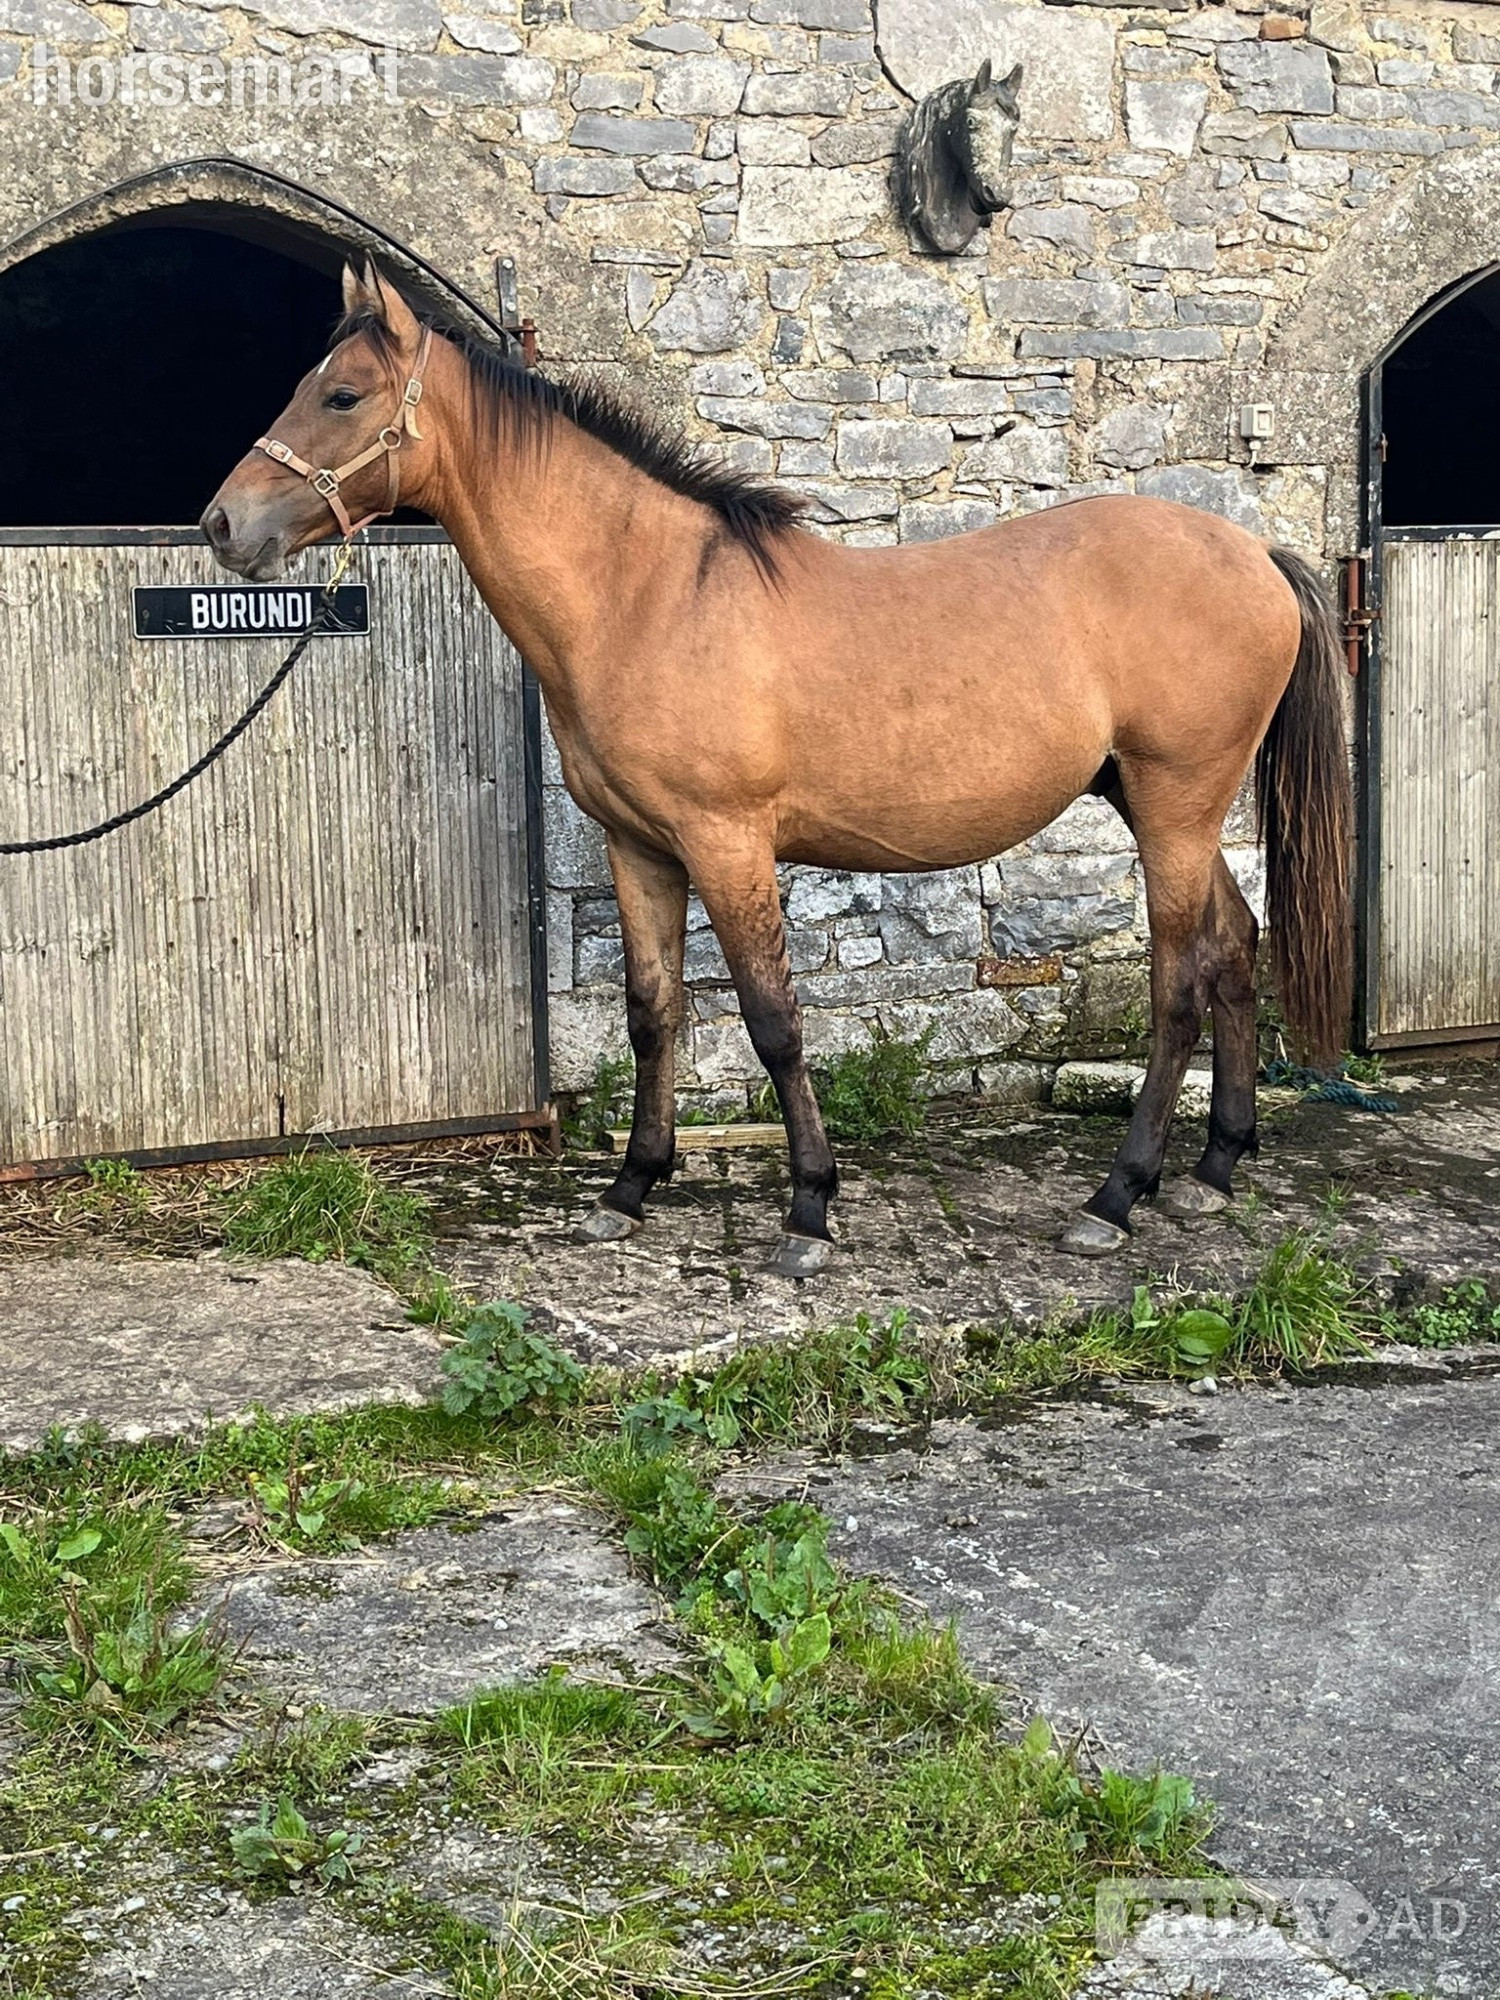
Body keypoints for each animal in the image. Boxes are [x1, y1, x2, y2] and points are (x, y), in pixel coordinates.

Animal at [202, 261, 1353, 1279]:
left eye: (342, 394)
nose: (221, 524)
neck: (646, 592)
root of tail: (1254, 555)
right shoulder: (641, 849)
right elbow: (652, 1012)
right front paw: (631, 1188)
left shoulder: (727, 842)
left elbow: (772, 1022)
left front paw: (808, 1210)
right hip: (1162, 804)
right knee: (1235, 949)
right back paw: (1213, 1168)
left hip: (1174, 802)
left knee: (1180, 985)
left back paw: (1116, 1196)